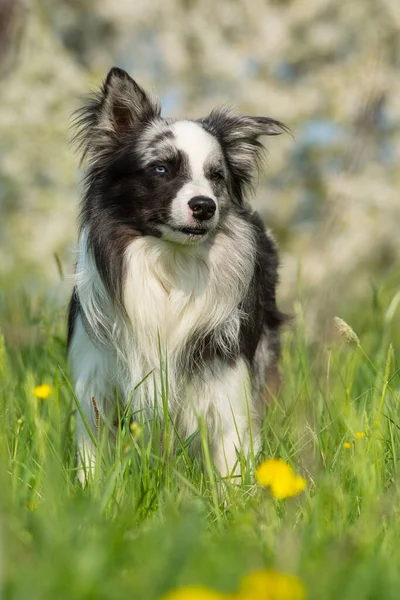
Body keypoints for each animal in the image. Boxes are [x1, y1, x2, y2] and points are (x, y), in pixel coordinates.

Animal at [69, 68, 288, 486]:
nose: (205, 206)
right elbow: (92, 460)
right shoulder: (96, 382)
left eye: (216, 176)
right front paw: (90, 497)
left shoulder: (226, 386)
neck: (168, 263)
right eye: (161, 169)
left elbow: (231, 464)